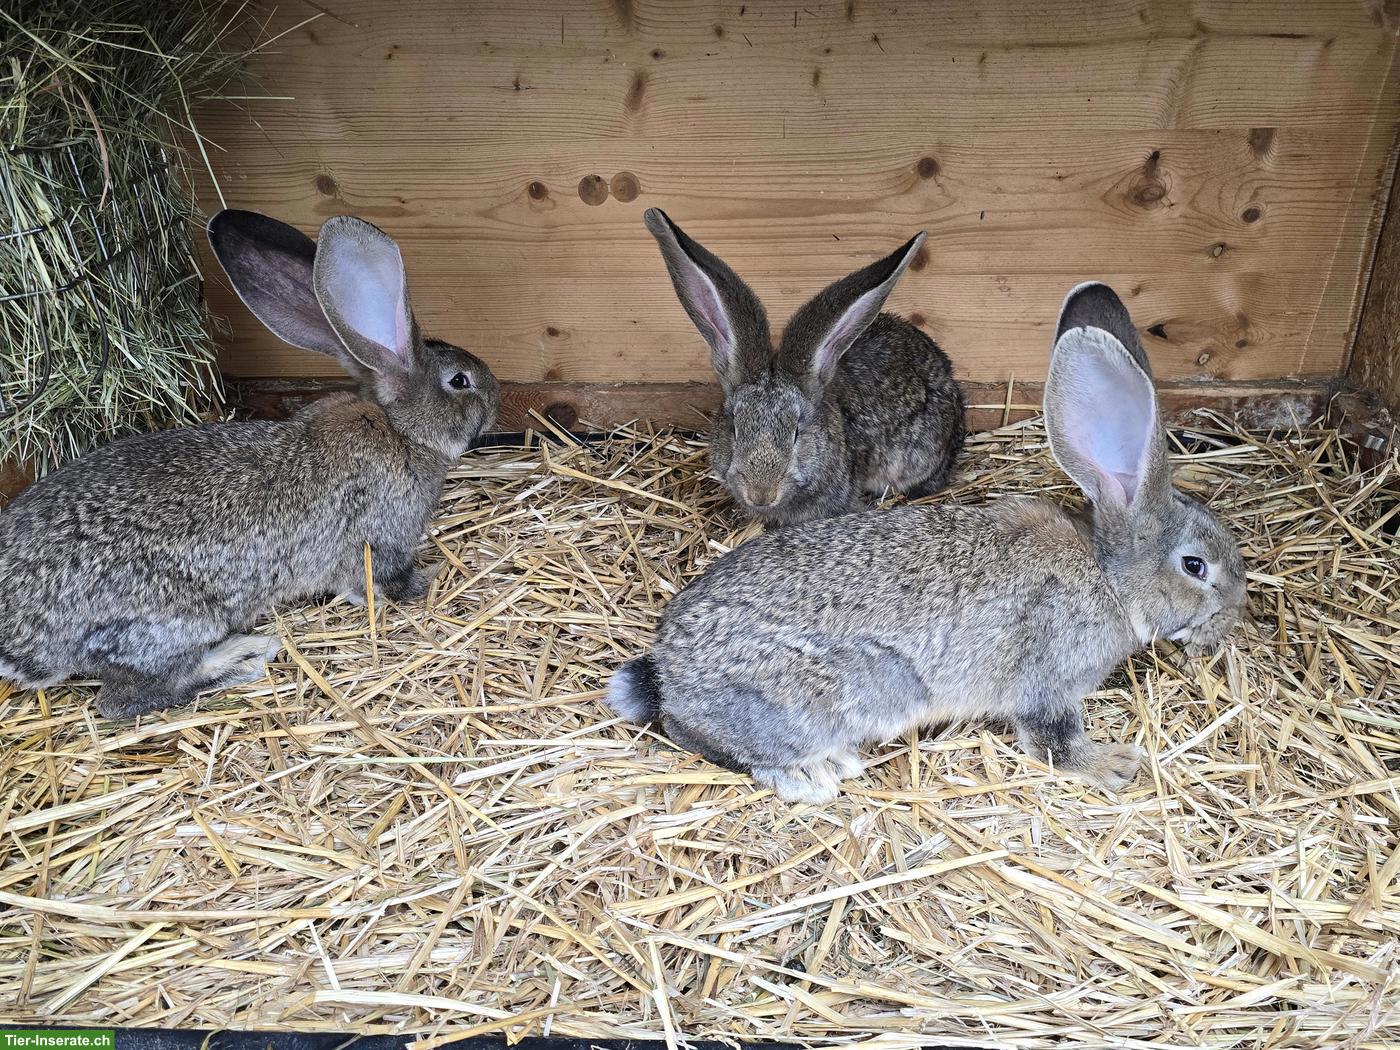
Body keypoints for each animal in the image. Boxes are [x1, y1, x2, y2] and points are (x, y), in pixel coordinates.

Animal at [0, 209, 500, 719]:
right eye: (460, 381)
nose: (496, 398)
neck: (402, 431)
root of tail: (19, 645)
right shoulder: (380, 541)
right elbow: (379, 584)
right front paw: (427, 581)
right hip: (171, 623)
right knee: (126, 698)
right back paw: (242, 657)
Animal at [607, 282, 1246, 804]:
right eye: (1195, 566)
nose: (1235, 612)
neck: (1110, 578)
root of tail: (670, 671)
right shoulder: (1047, 682)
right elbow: (1053, 741)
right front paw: (1114, 764)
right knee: (696, 733)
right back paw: (814, 772)